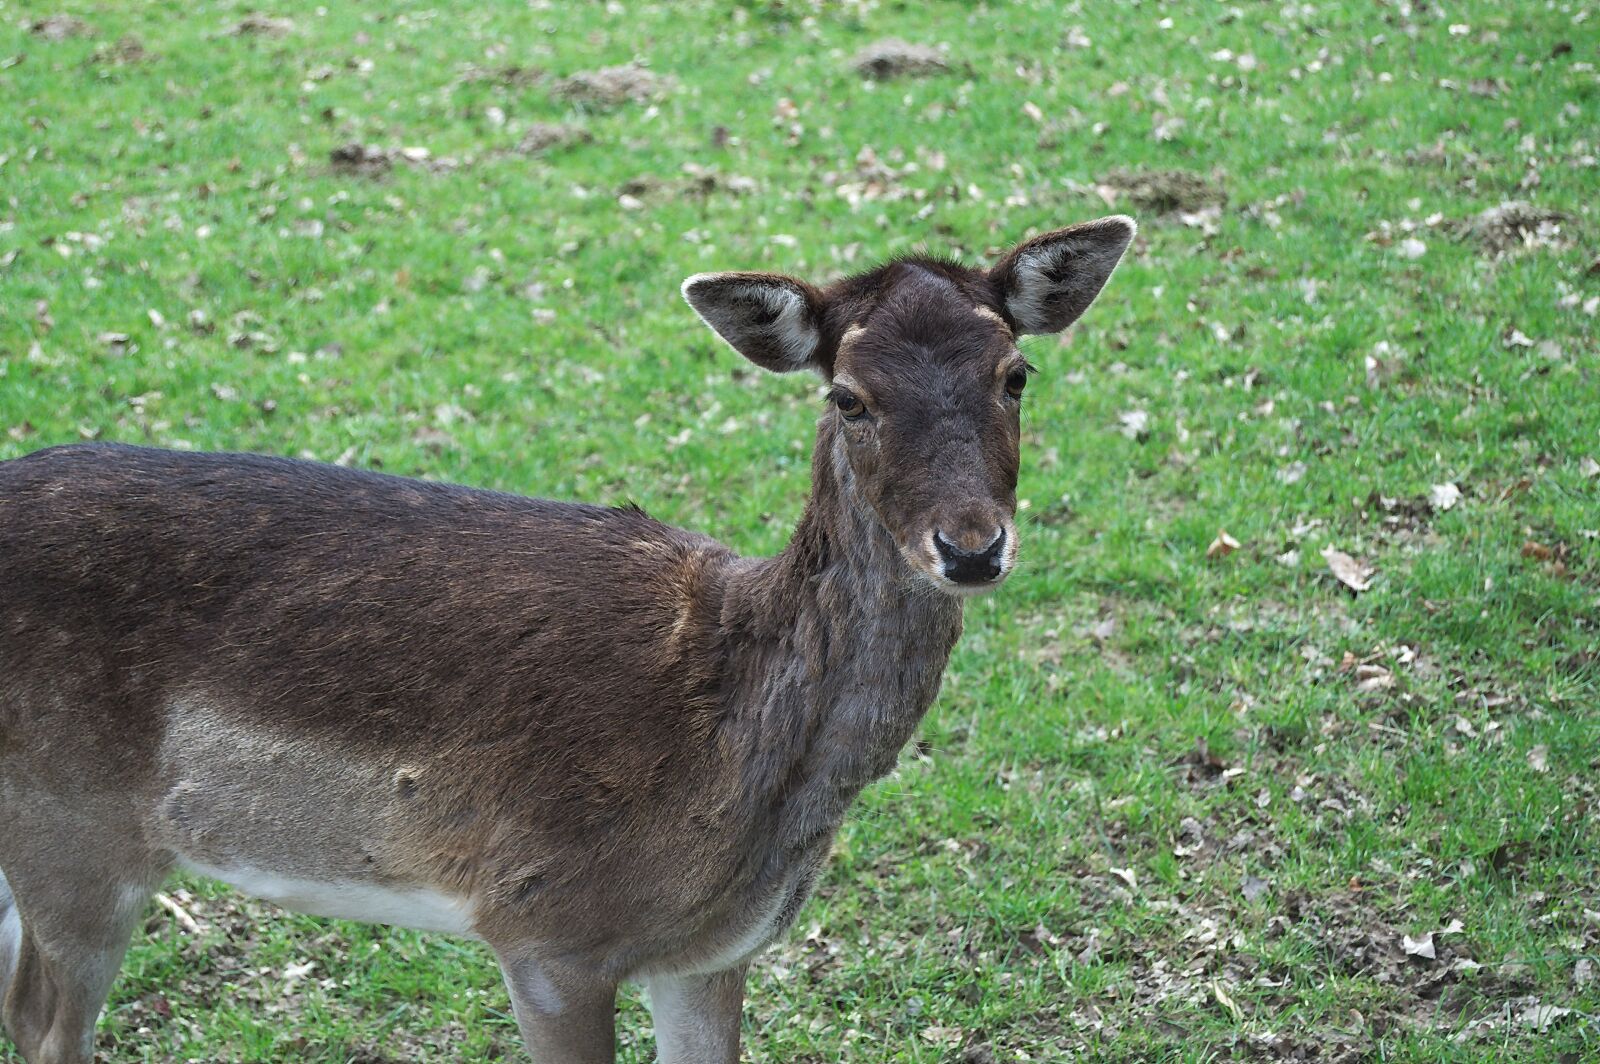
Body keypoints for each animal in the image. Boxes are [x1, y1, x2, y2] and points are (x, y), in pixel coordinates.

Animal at [0, 215, 1134, 1063]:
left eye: (1016, 373)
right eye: (848, 396)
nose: (970, 546)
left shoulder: (713, 953)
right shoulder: (545, 930)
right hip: (75, 838)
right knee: (46, 1027)